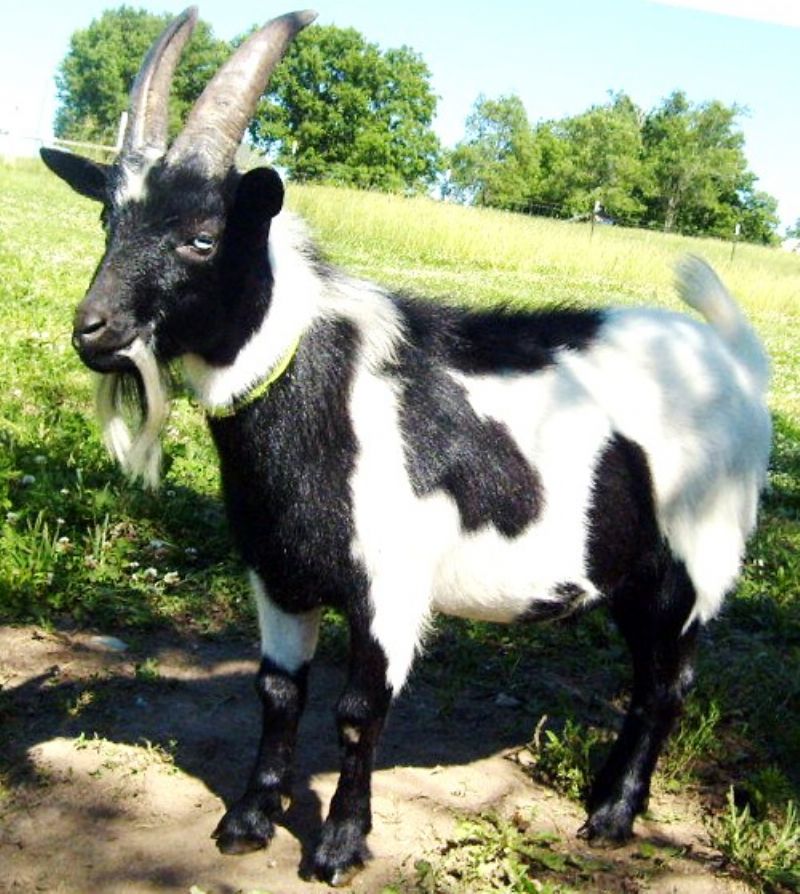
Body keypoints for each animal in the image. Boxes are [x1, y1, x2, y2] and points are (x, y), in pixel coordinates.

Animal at [41, 6, 772, 886]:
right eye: (107, 219)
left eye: (205, 238)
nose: (95, 330)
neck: (325, 395)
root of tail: (735, 357)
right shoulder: (277, 575)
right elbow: (277, 693)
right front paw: (248, 820)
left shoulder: (389, 585)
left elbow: (360, 713)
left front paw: (338, 847)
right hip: (631, 569)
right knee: (647, 679)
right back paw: (604, 798)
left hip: (697, 558)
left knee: (670, 682)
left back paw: (613, 817)